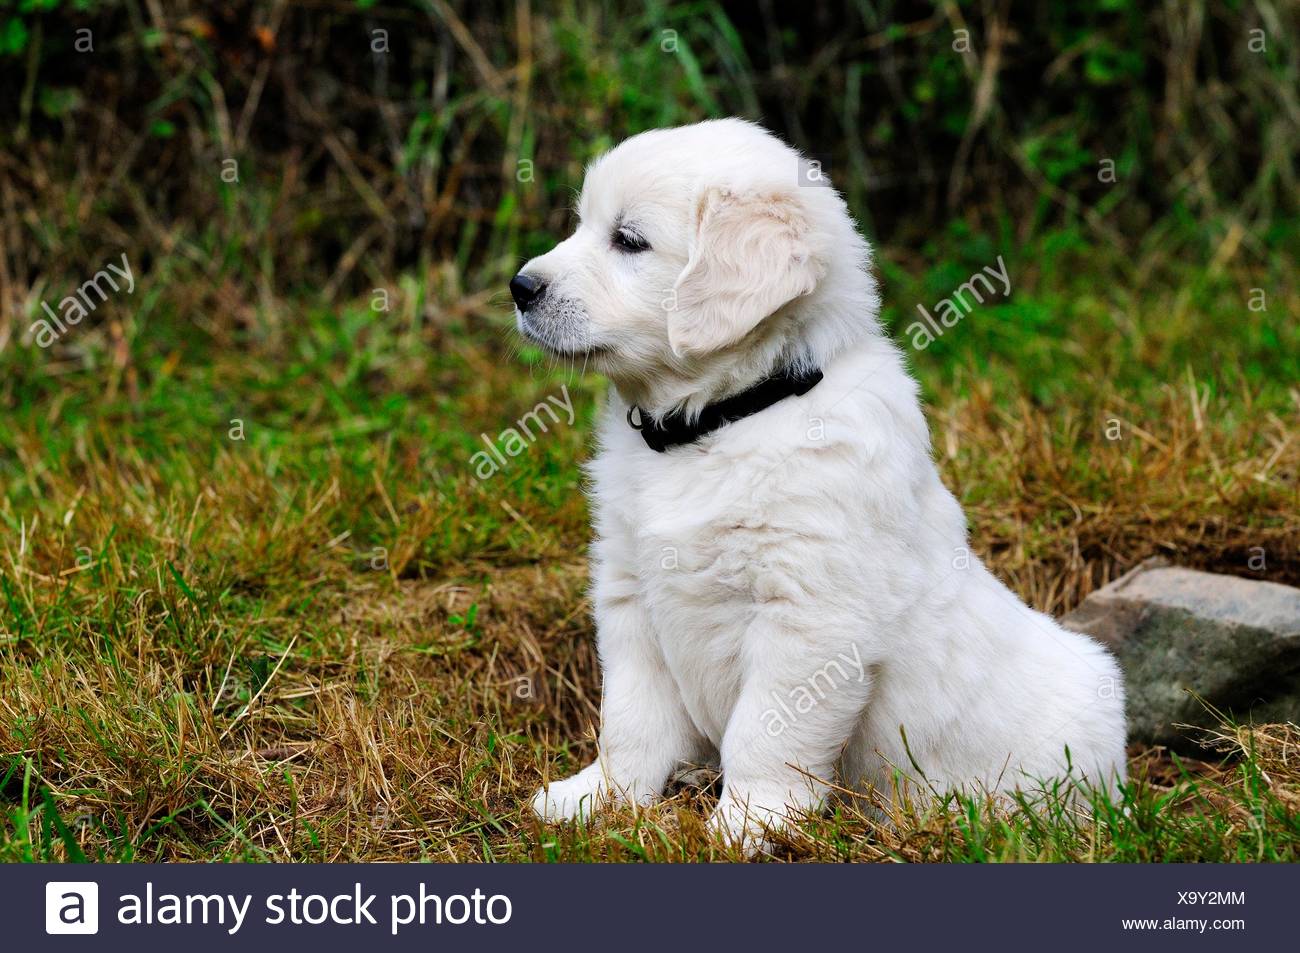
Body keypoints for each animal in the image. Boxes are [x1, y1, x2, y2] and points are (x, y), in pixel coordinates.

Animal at [512, 120, 1123, 847]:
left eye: (629, 240)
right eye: (582, 224)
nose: (520, 286)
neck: (719, 420)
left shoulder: (811, 617)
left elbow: (765, 731)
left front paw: (746, 823)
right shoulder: (631, 596)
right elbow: (630, 720)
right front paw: (596, 800)